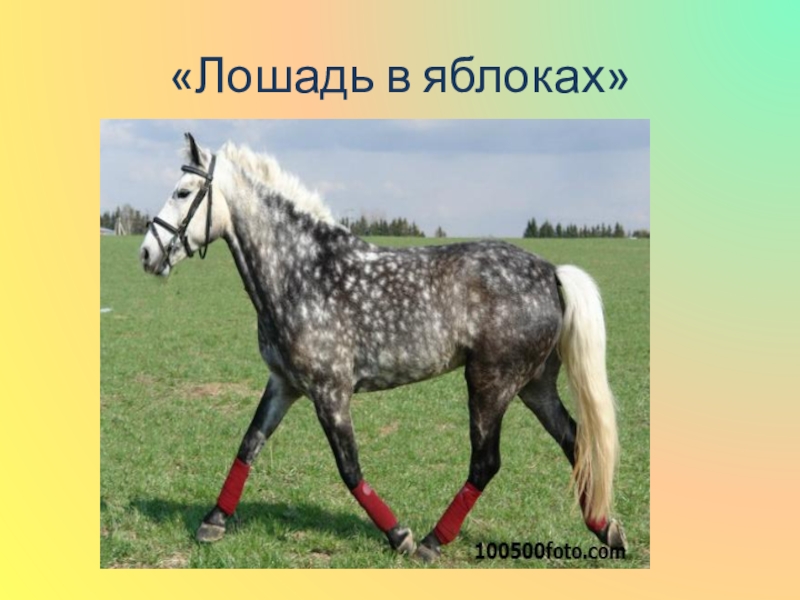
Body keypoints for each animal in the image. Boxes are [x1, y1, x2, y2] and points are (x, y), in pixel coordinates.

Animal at [138, 133, 627, 561]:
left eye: (183, 191)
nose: (146, 253)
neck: (302, 273)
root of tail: (550, 272)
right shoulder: (284, 384)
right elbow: (248, 445)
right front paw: (213, 521)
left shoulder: (330, 392)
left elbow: (349, 468)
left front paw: (400, 536)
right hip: (533, 385)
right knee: (577, 443)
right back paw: (608, 530)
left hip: (491, 384)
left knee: (487, 463)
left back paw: (432, 543)